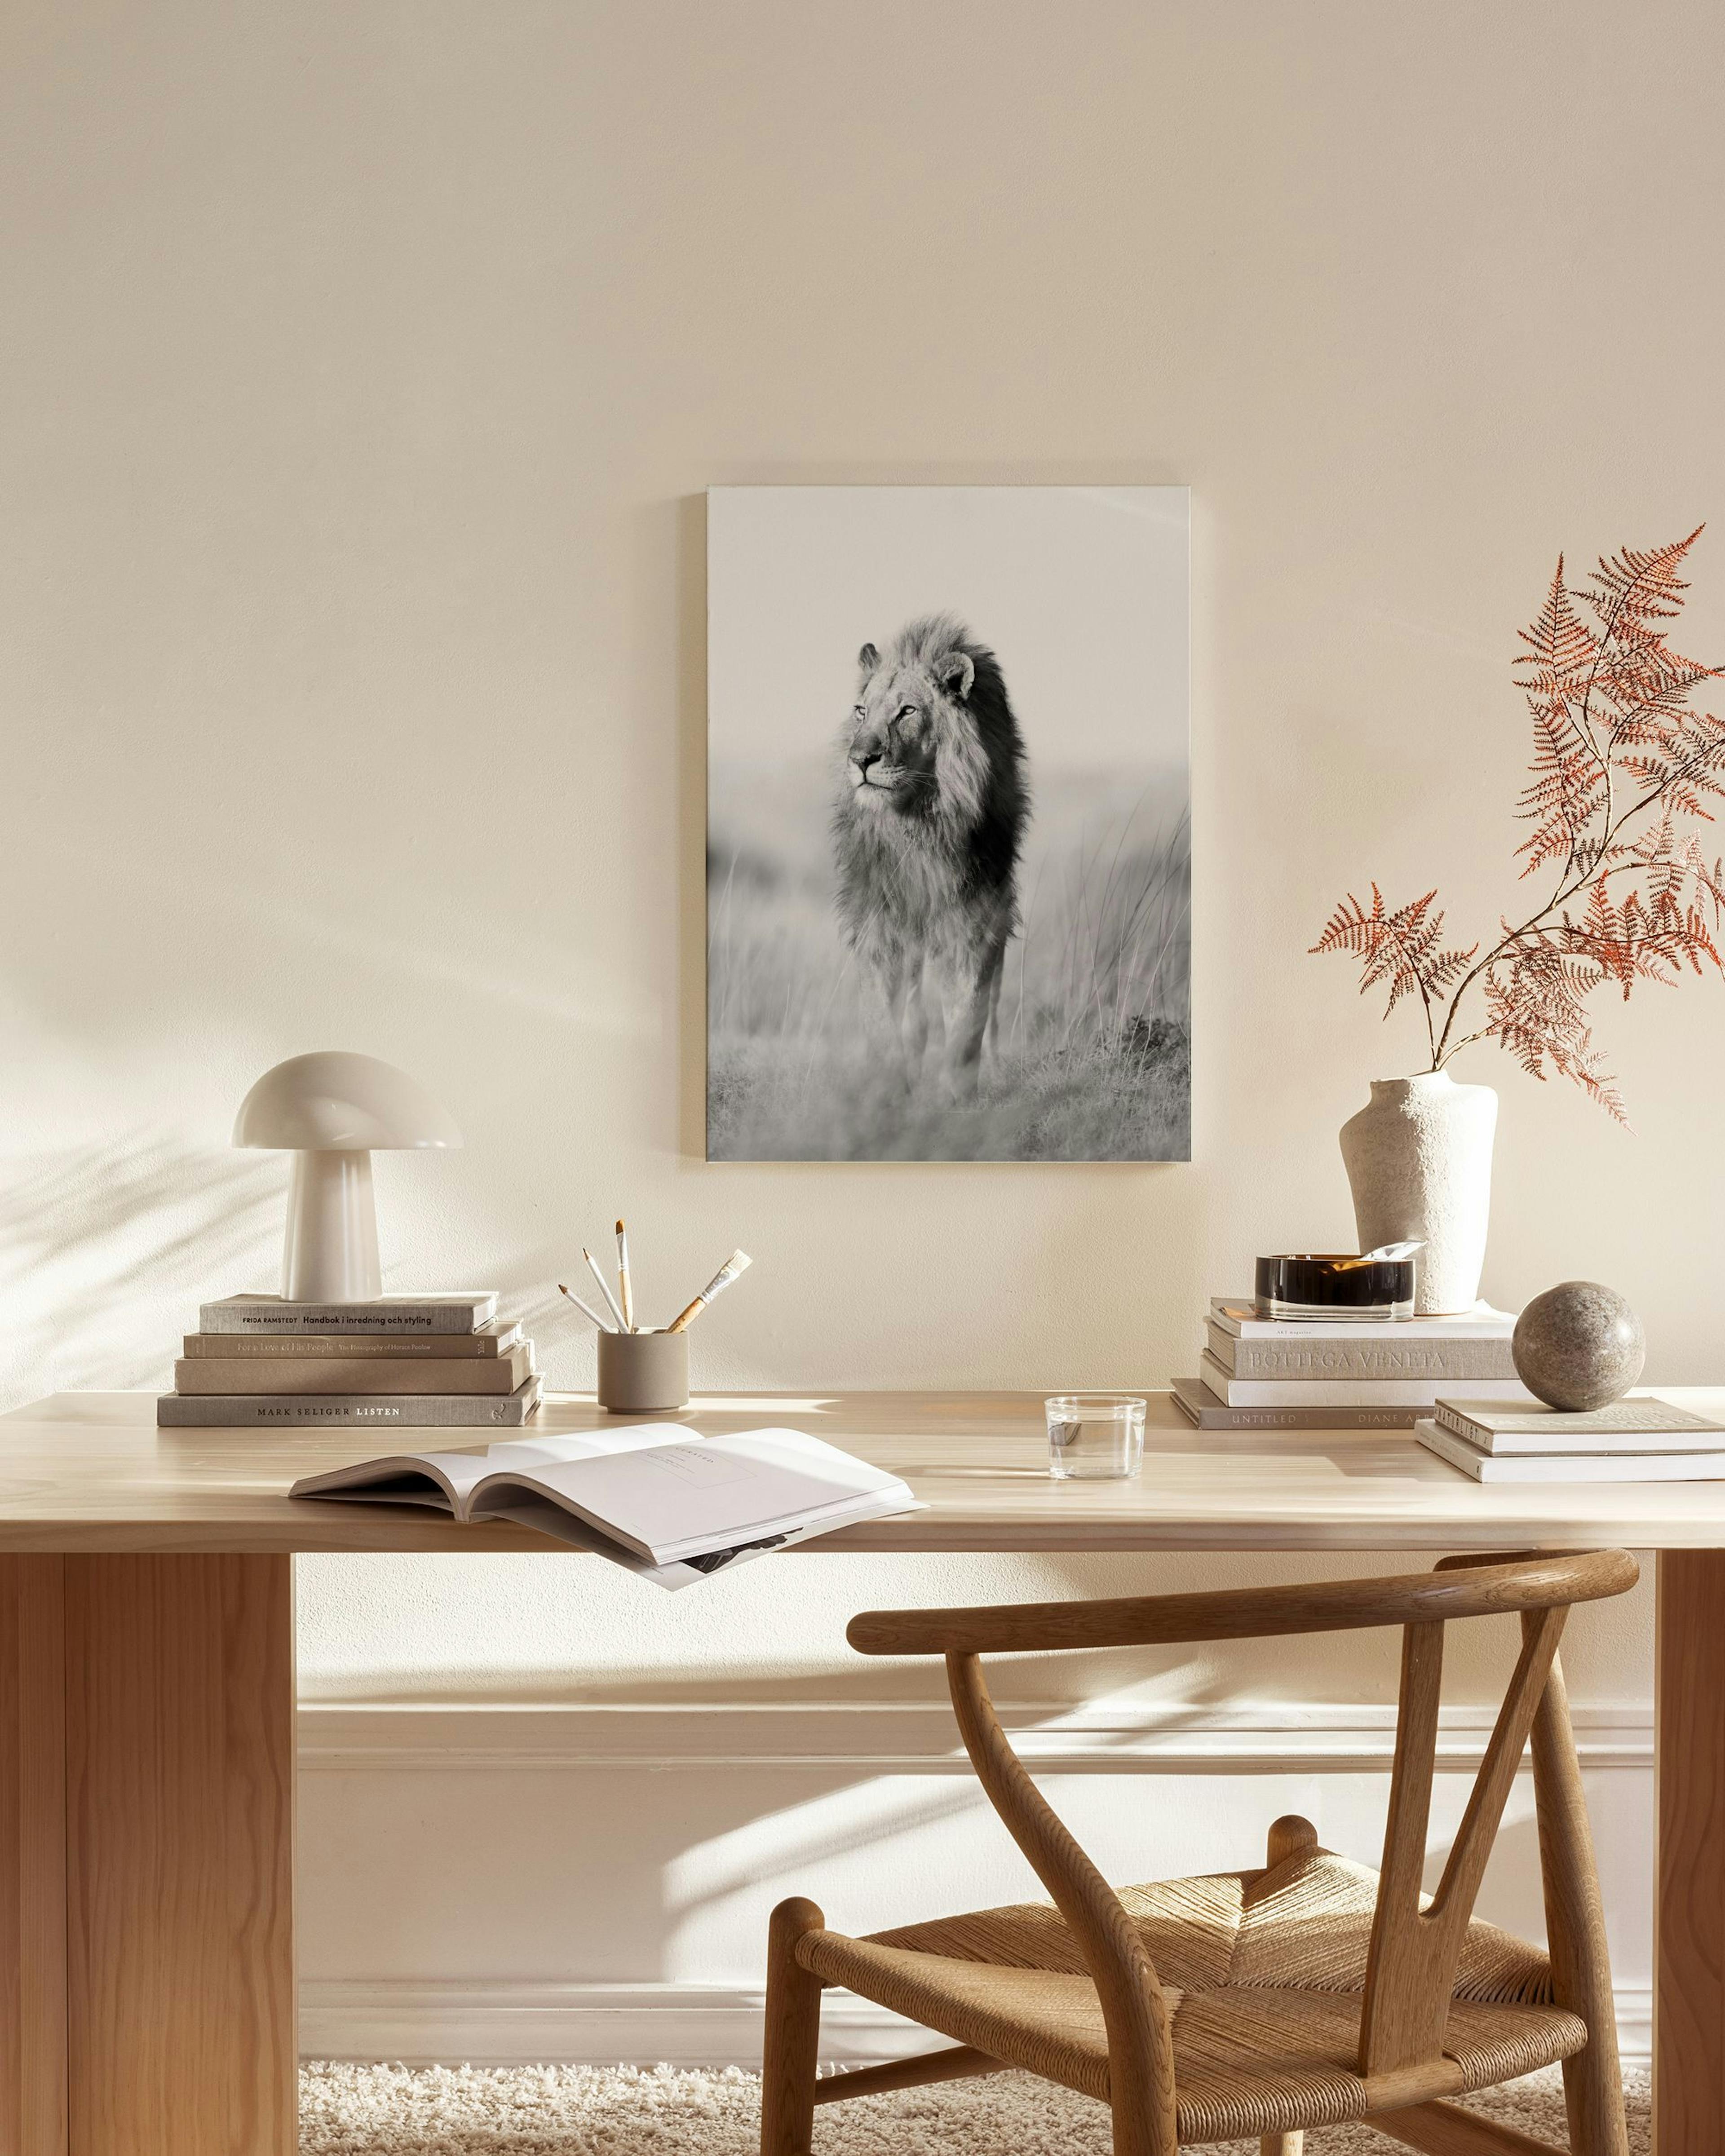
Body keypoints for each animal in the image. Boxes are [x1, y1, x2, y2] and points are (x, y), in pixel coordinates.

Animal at [832, 614, 1030, 1096]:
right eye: (861, 711)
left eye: (907, 711)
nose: (860, 759)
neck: (917, 824)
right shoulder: (878, 920)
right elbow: (883, 1020)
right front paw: (889, 1092)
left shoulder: (976, 919)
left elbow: (968, 1019)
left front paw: (955, 1096)